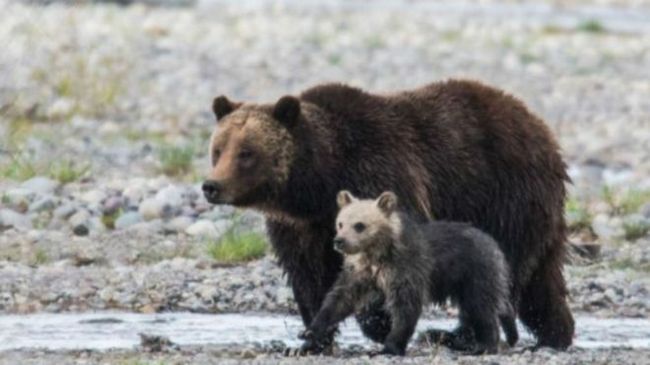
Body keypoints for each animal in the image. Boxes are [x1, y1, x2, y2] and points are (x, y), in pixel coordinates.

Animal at [202, 79, 572, 346]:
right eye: (218, 149)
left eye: (246, 153)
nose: (211, 185)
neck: (318, 182)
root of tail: (542, 130)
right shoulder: (301, 228)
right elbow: (307, 275)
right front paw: (315, 335)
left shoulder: (381, 176)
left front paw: (379, 323)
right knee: (541, 280)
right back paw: (555, 332)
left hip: (504, 197)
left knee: (500, 272)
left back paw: (457, 335)